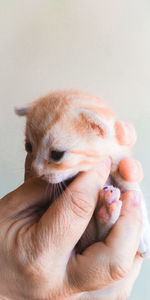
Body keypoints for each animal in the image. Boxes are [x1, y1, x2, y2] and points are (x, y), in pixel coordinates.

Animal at [15, 89, 150, 258]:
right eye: (28, 147)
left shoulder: (120, 162)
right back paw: (107, 208)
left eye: (57, 154)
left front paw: (143, 236)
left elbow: (132, 189)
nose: (36, 171)